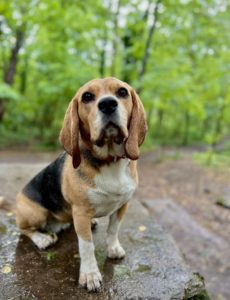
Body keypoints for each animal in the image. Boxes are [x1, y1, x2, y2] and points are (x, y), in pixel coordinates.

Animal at [16, 77, 147, 290]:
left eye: (122, 92)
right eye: (87, 97)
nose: (108, 104)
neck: (109, 161)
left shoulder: (123, 205)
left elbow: (113, 230)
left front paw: (113, 249)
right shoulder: (80, 212)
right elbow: (86, 245)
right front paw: (90, 275)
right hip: (35, 213)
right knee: (24, 229)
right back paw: (42, 238)